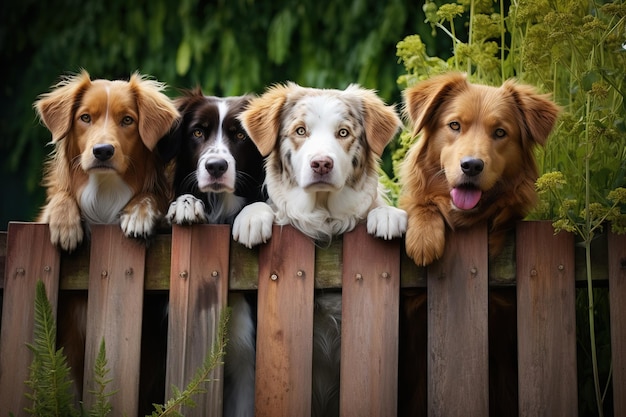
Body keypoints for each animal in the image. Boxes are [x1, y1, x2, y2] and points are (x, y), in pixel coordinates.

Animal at [158, 88, 266, 416]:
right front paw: (186, 204)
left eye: (240, 135)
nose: (216, 166)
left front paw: (253, 216)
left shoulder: (248, 363)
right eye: (197, 132)